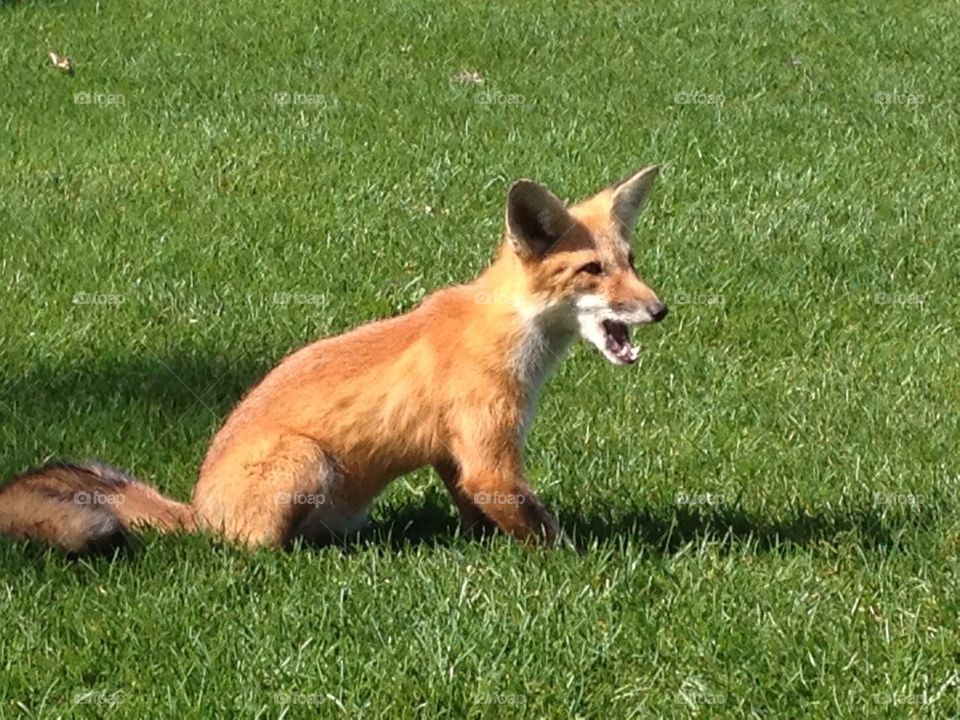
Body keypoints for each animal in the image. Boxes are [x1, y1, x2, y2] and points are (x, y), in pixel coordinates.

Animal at [0, 166, 667, 555]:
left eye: (631, 261)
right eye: (593, 271)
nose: (660, 310)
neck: (508, 331)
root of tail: (199, 510)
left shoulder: (458, 453)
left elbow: (479, 512)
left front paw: (486, 548)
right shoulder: (491, 460)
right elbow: (541, 527)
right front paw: (578, 566)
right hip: (305, 461)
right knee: (250, 549)